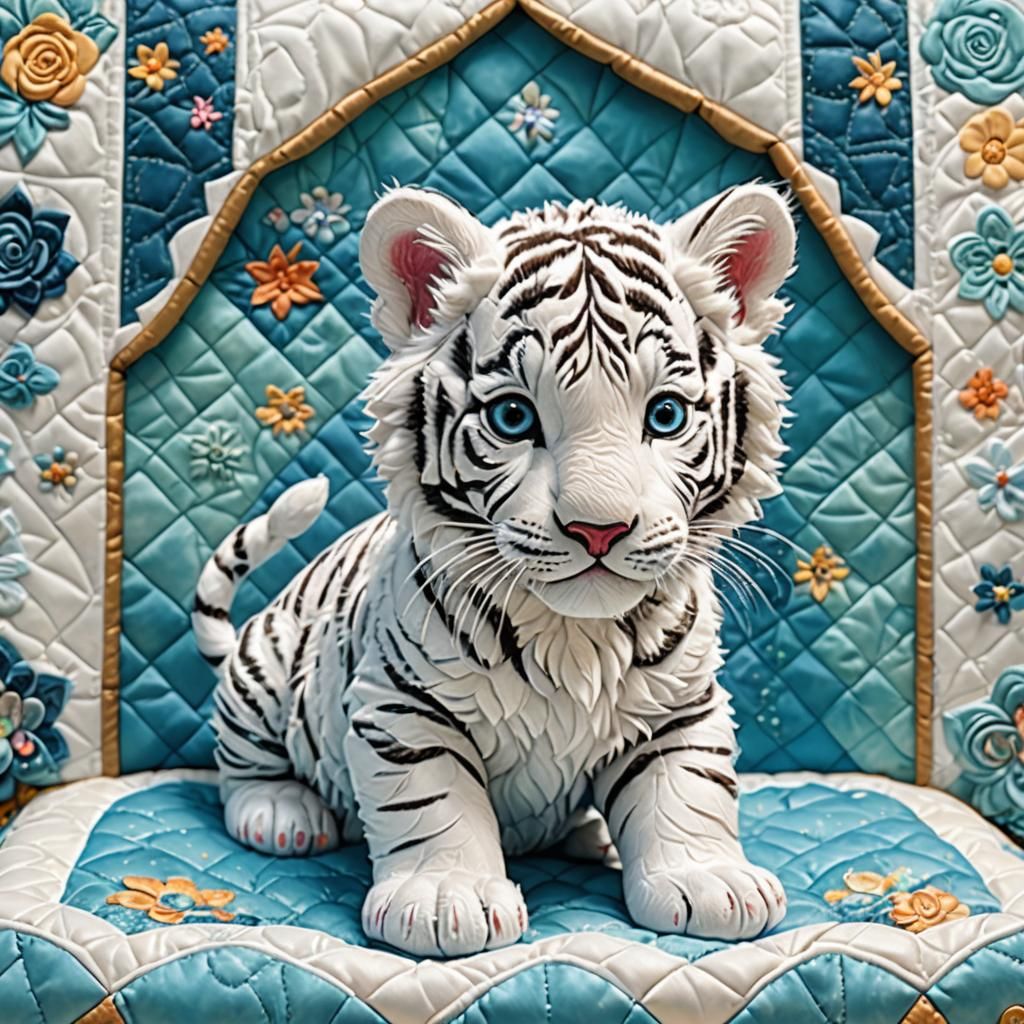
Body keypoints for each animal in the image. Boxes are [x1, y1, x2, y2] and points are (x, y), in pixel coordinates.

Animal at [192, 181, 797, 958]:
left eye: (664, 416)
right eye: (514, 417)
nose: (599, 528)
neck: (575, 635)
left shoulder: (679, 707)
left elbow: (686, 790)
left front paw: (706, 880)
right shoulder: (403, 705)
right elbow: (434, 800)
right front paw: (444, 898)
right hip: (263, 681)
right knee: (240, 764)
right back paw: (280, 812)